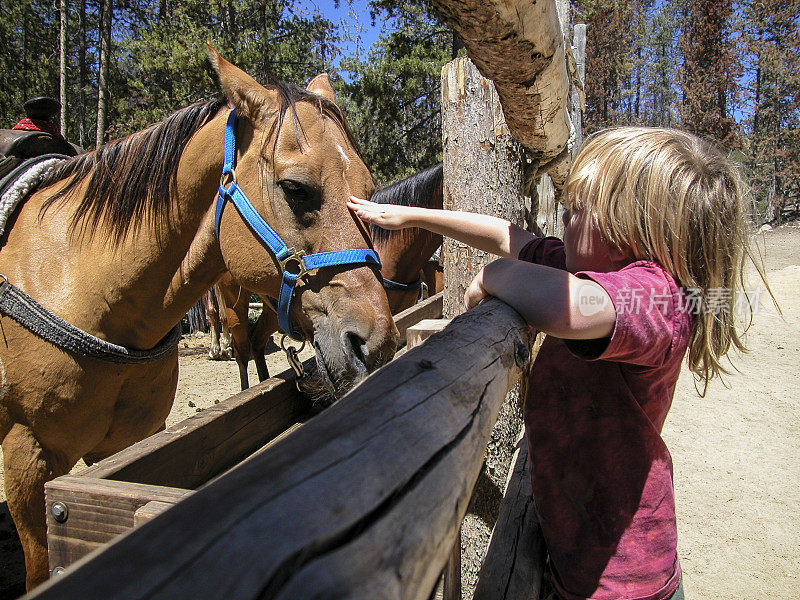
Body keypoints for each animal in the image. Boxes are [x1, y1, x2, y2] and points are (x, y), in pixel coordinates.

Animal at [0, 47, 396, 592]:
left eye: (368, 189)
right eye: (295, 188)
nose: (376, 343)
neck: (81, 285)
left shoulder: (127, 444)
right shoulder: (27, 460)